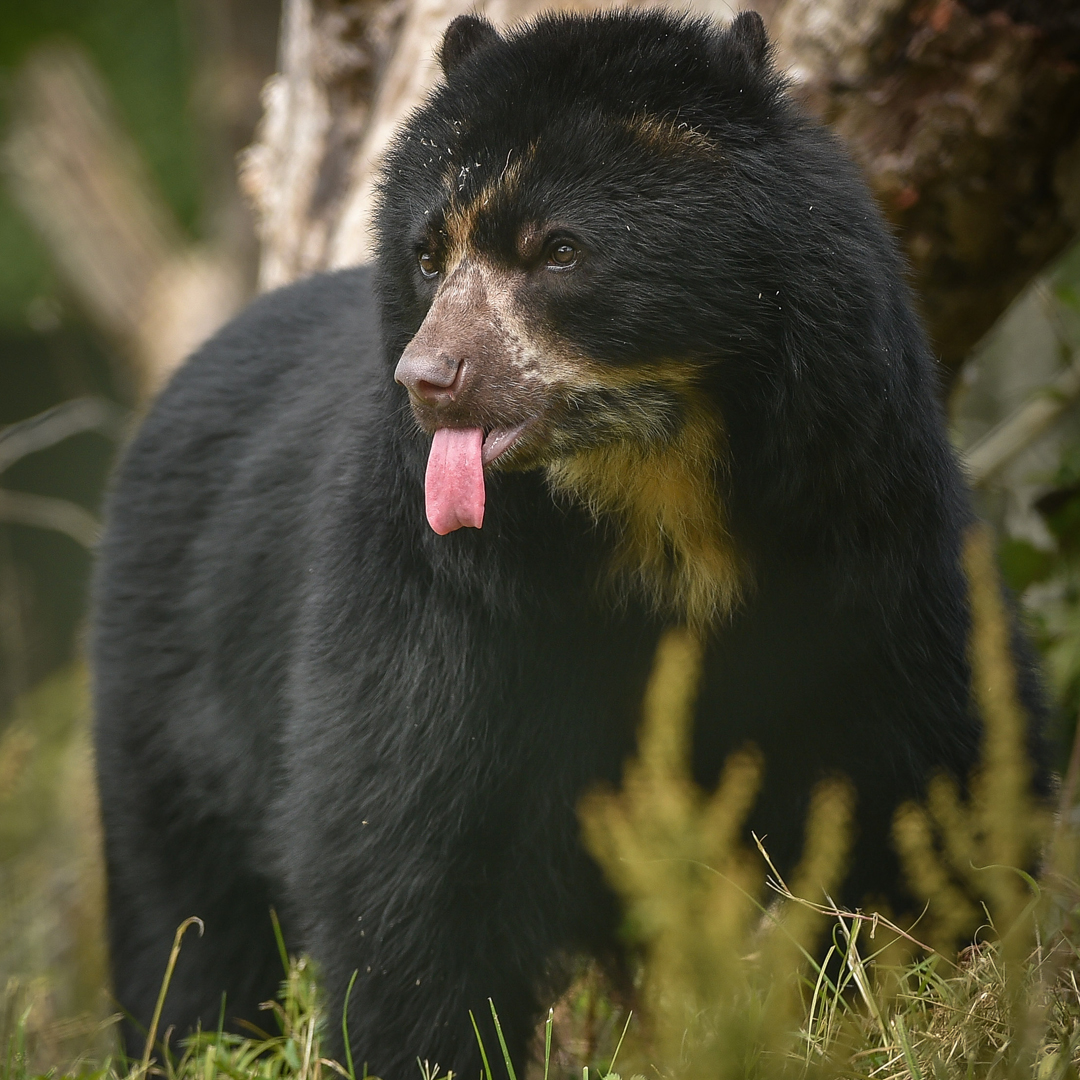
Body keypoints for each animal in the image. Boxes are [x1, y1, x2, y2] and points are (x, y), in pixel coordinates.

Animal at [91, 8, 1044, 1079]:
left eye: (559, 249)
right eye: (430, 254)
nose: (431, 377)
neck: (653, 499)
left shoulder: (867, 535)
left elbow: (930, 790)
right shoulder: (444, 595)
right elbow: (406, 858)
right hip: (170, 695)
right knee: (188, 924)